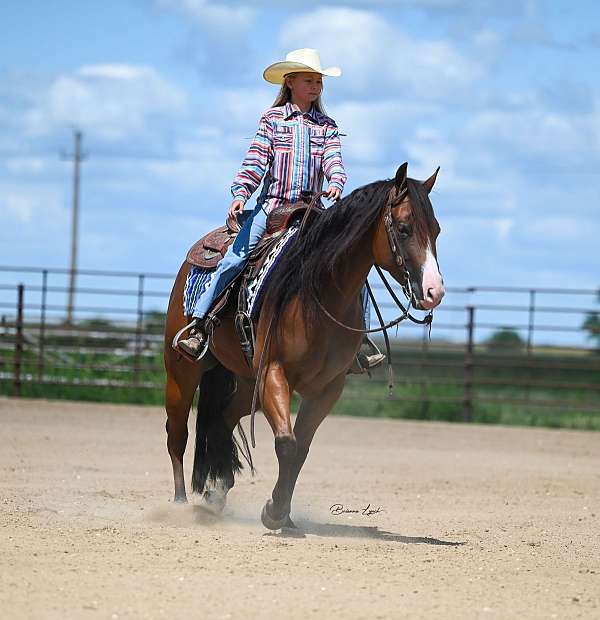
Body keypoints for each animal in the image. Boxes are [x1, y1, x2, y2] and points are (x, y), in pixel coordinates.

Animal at [162, 162, 442, 532]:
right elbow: (287, 445)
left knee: (222, 419)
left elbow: (301, 450)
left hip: (245, 382)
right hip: (182, 371)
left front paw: (284, 513)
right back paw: (180, 503)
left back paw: (216, 494)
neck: (317, 291)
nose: (434, 292)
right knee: (177, 434)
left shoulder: (327, 388)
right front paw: (274, 513)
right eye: (404, 228)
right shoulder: (274, 374)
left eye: (436, 230)